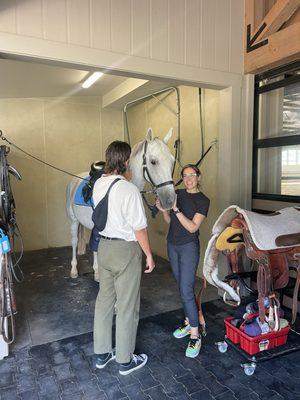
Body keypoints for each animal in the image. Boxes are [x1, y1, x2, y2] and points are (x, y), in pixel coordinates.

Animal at [65, 126, 176, 280]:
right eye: (153, 161)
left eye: (172, 161)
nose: (170, 200)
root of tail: (75, 179)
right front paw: (98, 272)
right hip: (73, 221)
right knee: (75, 241)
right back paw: (74, 269)